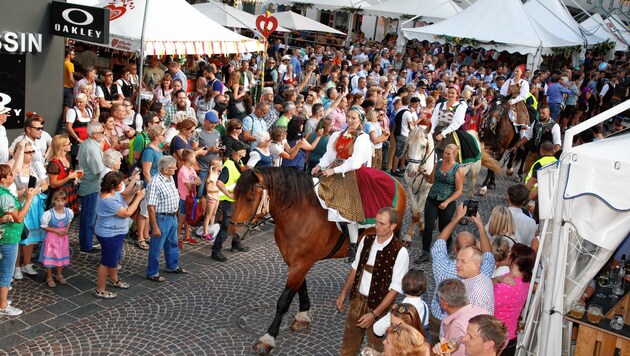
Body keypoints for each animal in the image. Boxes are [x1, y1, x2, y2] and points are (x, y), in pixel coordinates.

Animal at [230, 168, 408, 356]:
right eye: (235, 195)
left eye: (250, 199)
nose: (233, 233)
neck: (298, 213)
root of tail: (396, 181)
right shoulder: (295, 262)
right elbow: (301, 287)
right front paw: (302, 316)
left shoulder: (301, 263)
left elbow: (284, 301)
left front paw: (268, 338)